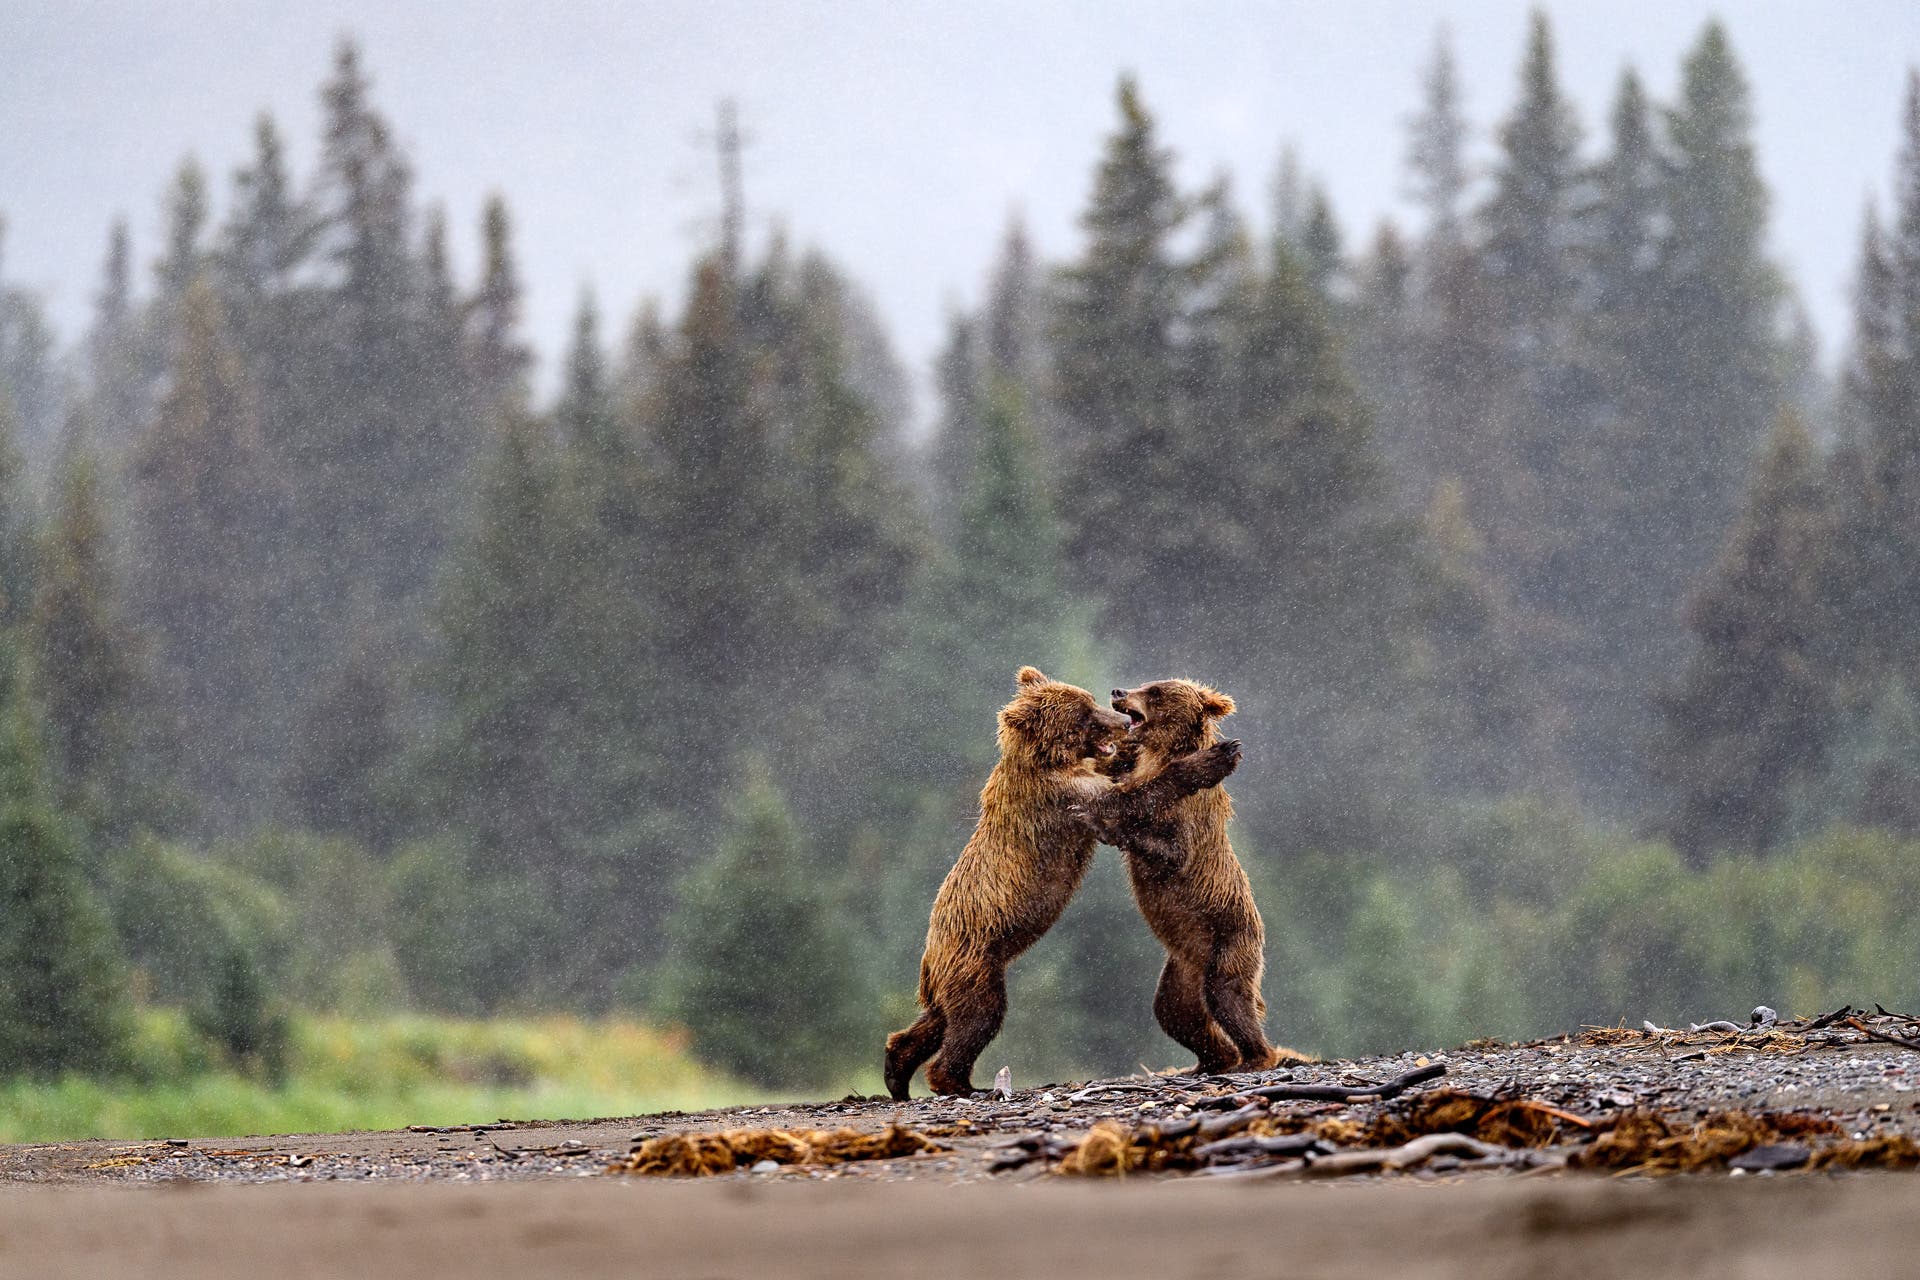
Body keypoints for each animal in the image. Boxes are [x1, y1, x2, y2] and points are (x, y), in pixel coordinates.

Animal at [883, 666, 1242, 1099]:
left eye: (1089, 701)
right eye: (1085, 715)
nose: (1120, 720)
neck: (1050, 759)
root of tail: (930, 952)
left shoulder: (1084, 775)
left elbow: (1121, 781)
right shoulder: (1059, 796)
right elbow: (1127, 800)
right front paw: (1214, 759)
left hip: (950, 972)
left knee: (935, 1020)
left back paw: (897, 1071)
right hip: (976, 956)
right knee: (978, 1017)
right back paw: (958, 1082)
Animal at [1087, 678, 1297, 1075]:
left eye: (1154, 691)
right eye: (1147, 684)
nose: (1118, 691)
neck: (1162, 754)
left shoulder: (1190, 819)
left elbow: (1173, 850)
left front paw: (1109, 826)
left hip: (1228, 942)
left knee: (1227, 996)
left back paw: (1254, 1058)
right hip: (1180, 972)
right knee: (1175, 1014)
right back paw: (1207, 1063)